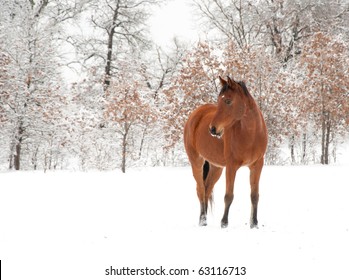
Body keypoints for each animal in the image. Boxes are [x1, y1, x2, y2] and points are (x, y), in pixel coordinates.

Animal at [182, 76, 266, 228]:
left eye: (227, 101)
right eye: (219, 100)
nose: (213, 129)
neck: (251, 134)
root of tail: (195, 114)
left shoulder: (257, 165)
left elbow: (254, 195)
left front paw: (254, 223)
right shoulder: (231, 166)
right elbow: (228, 195)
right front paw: (224, 222)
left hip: (216, 167)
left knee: (207, 189)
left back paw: (205, 219)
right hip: (196, 162)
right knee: (200, 190)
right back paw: (202, 220)